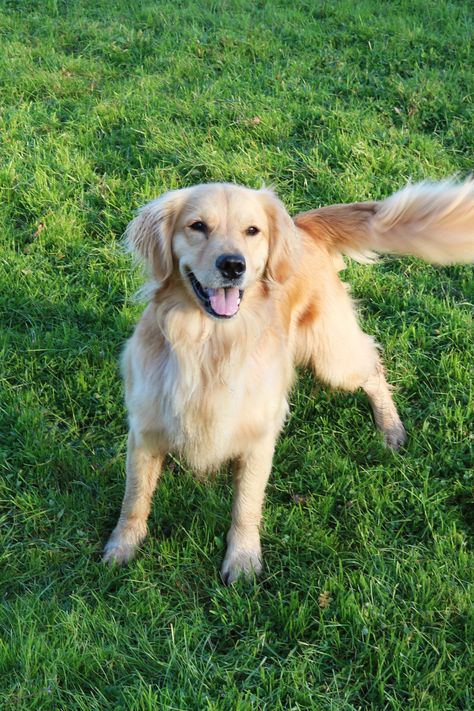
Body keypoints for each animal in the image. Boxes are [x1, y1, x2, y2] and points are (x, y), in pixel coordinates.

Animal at [103, 179, 474, 584]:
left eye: (252, 230)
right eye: (197, 226)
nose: (233, 265)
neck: (210, 347)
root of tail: (303, 226)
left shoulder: (257, 437)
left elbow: (246, 505)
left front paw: (243, 559)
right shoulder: (145, 432)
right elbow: (135, 497)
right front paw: (122, 547)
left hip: (332, 358)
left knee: (373, 364)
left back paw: (390, 427)